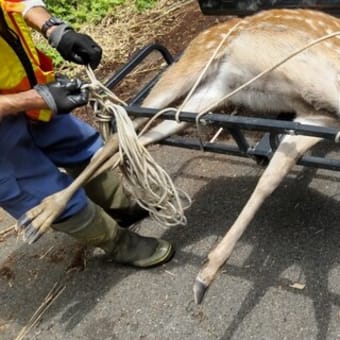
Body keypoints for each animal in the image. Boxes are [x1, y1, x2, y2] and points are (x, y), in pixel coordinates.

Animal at [16, 8, 340, 302]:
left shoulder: (317, 119)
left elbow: (274, 174)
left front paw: (206, 276)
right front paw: (206, 276)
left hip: (208, 96)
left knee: (138, 138)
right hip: (187, 69)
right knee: (121, 129)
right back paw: (39, 217)